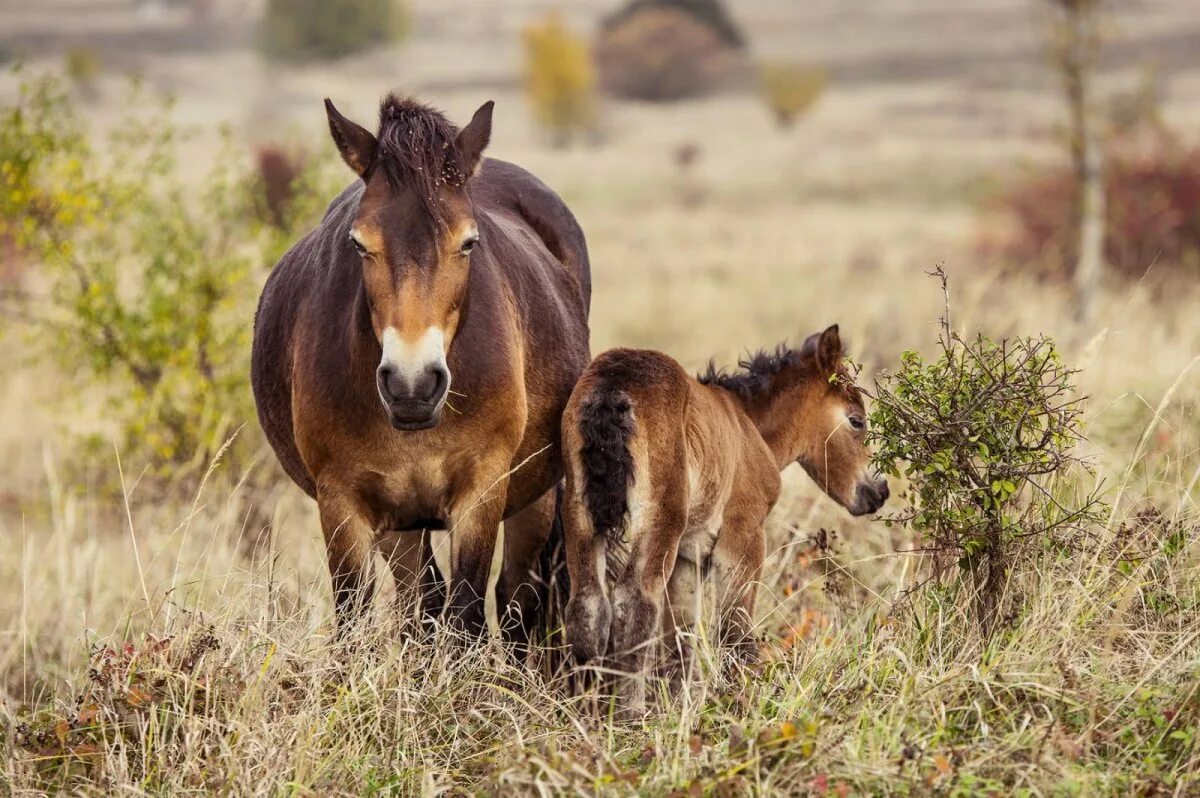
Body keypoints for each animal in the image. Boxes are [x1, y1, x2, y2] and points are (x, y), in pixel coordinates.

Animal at [252, 94, 590, 643]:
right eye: (359, 243)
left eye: (469, 242)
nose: (412, 385)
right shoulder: (345, 504)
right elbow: (358, 621)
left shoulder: (481, 491)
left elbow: (467, 615)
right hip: (401, 526)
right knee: (423, 604)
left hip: (532, 498)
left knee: (515, 600)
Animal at [556, 324, 888, 710]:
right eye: (857, 420)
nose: (879, 492)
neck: (748, 426)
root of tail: (612, 387)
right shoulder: (743, 538)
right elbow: (734, 630)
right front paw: (741, 698)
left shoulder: (689, 555)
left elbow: (681, 634)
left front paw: (679, 704)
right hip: (659, 520)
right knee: (635, 602)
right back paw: (630, 714)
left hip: (579, 516)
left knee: (587, 606)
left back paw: (583, 711)